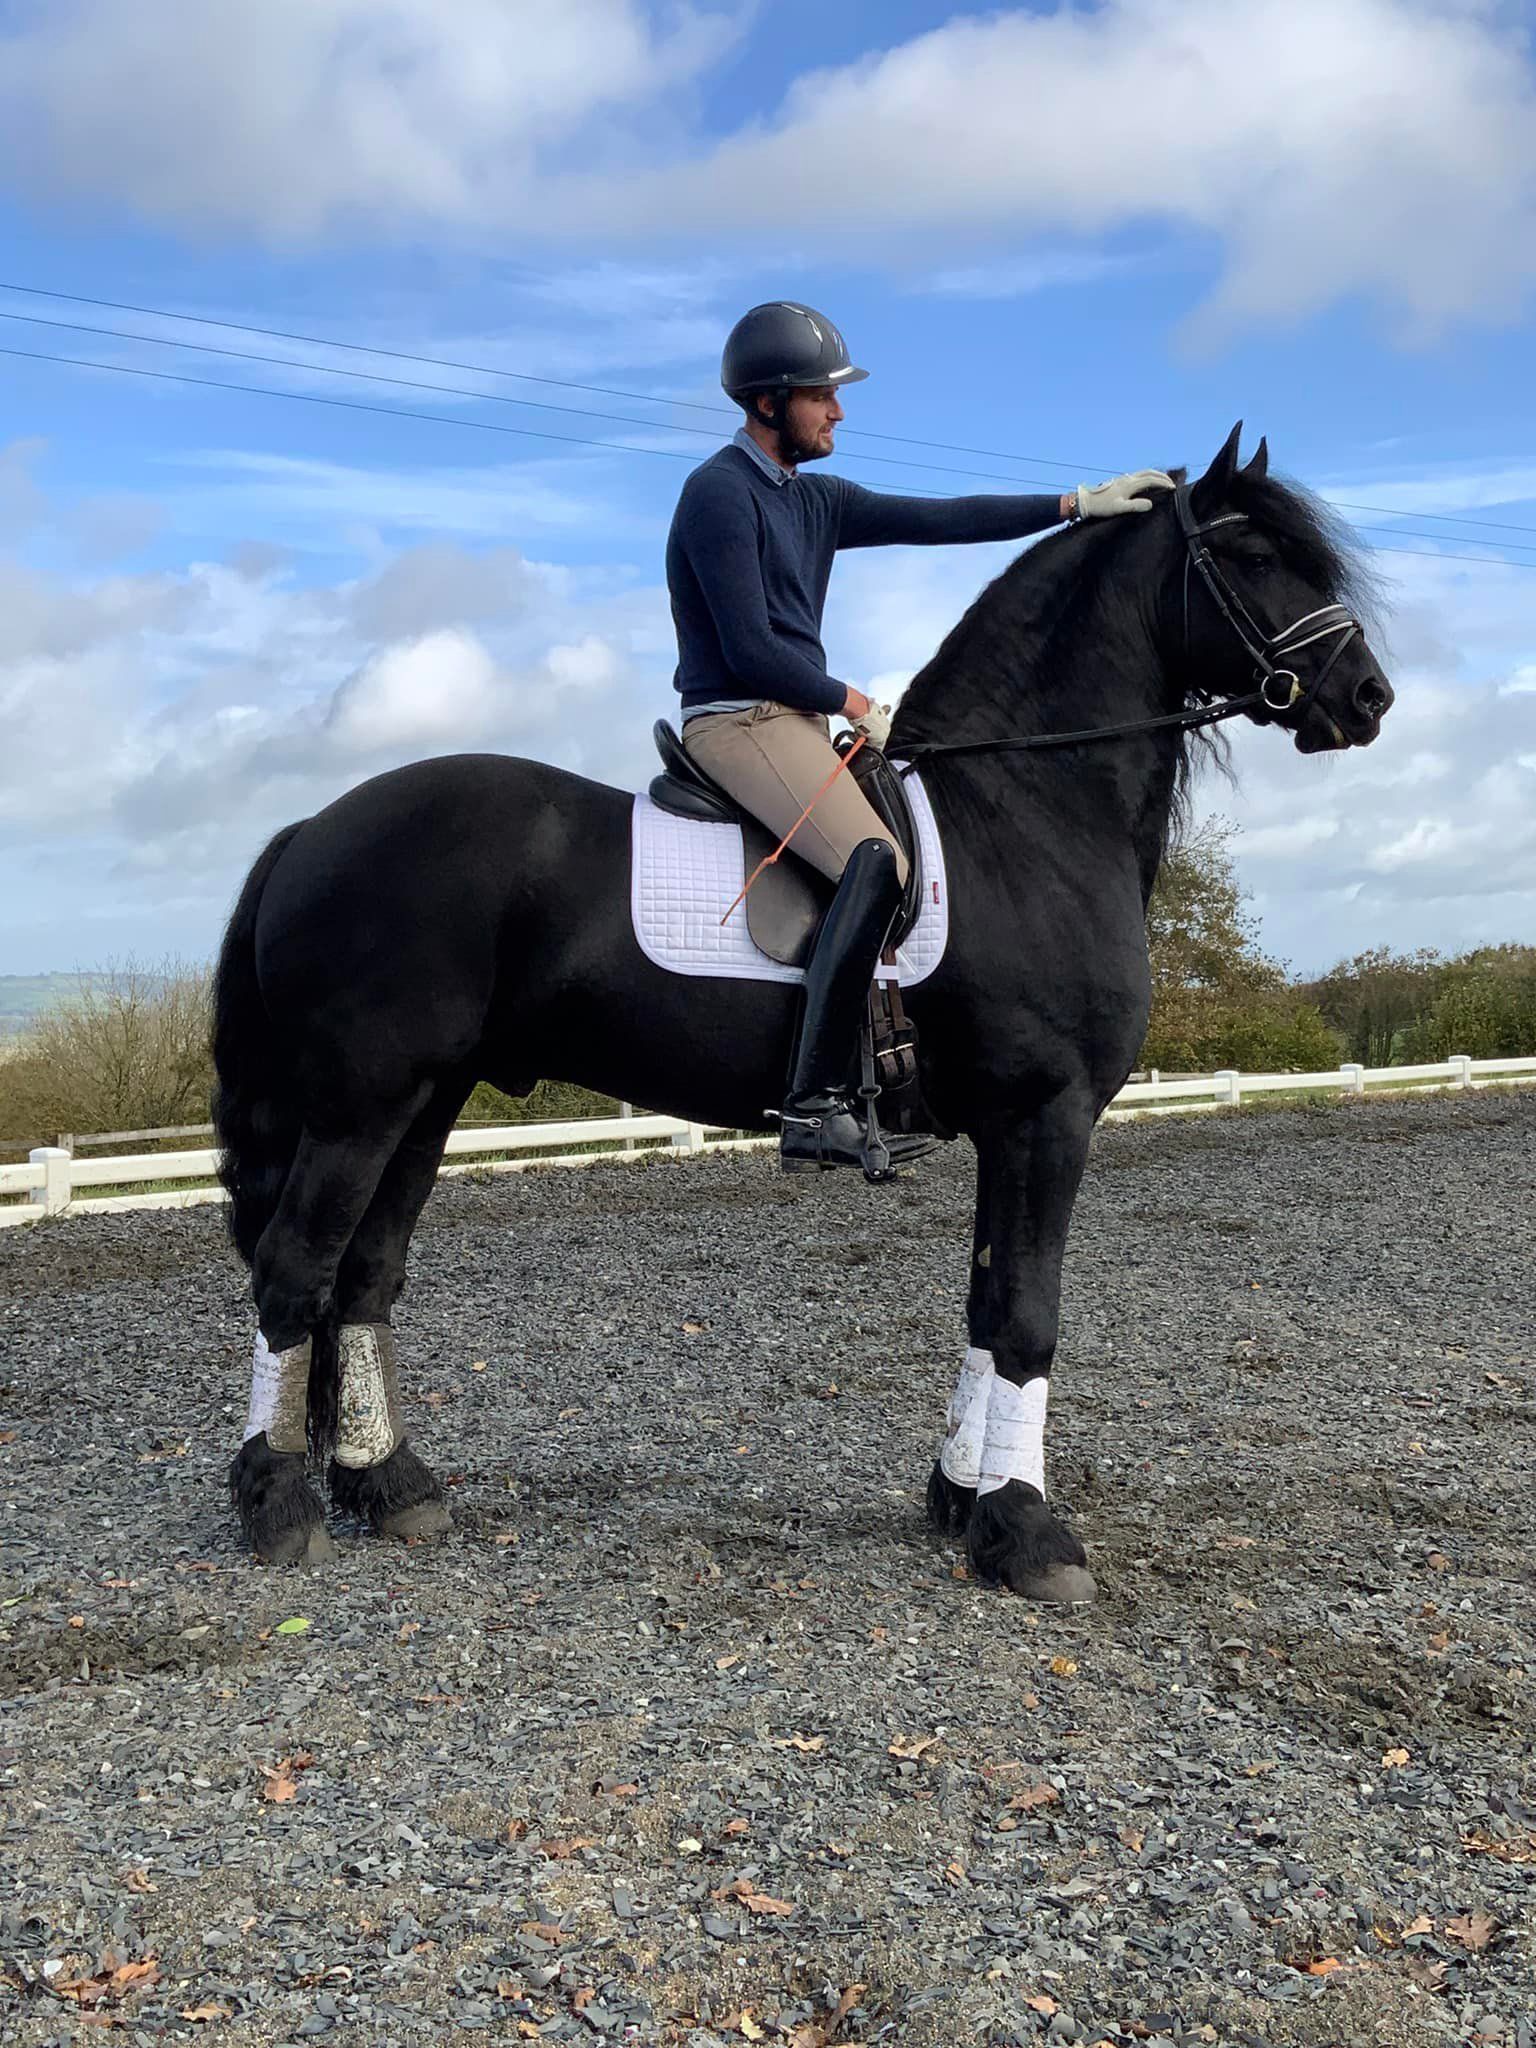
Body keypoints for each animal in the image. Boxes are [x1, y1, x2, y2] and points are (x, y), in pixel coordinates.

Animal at [213, 423, 1393, 1596]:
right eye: (1252, 556)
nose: (1368, 699)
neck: (1019, 813)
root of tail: (314, 825)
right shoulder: (1049, 1115)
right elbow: (1028, 1319)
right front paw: (1025, 1530)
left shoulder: (1010, 1127)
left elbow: (986, 1304)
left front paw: (960, 1498)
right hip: (362, 1107)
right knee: (296, 1271)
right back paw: (281, 1507)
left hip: (427, 1099)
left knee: (364, 1276)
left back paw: (389, 1484)